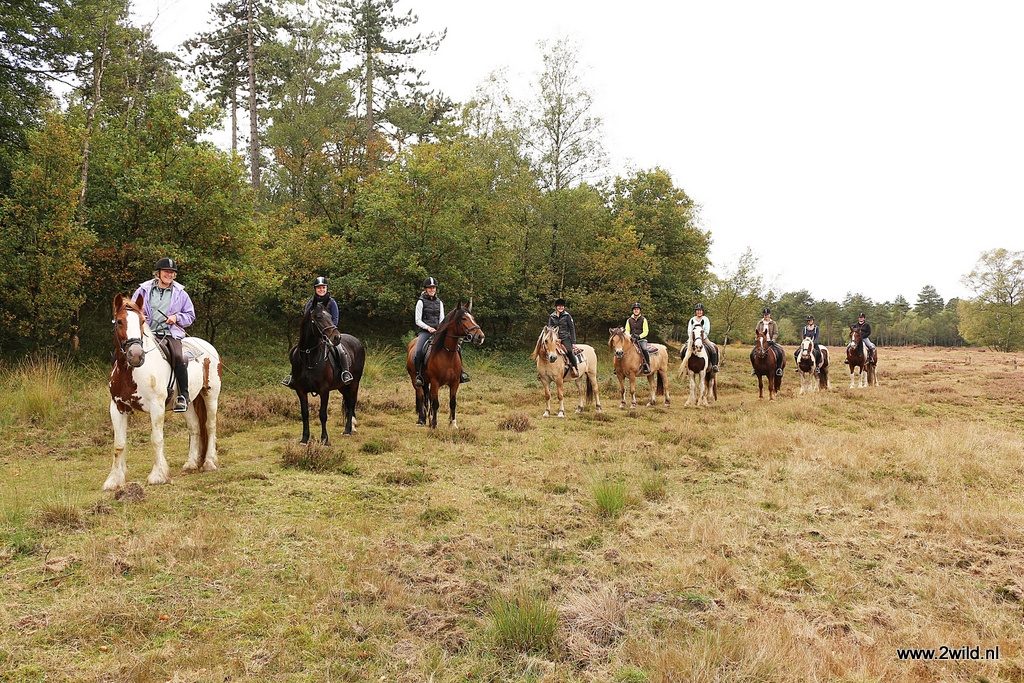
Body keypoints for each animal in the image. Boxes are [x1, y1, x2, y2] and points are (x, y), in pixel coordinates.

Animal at [104, 294, 221, 491]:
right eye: (119, 321)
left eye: (142, 321)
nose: (136, 355)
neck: (131, 372)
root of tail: (208, 346)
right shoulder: (118, 407)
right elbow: (119, 444)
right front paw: (114, 480)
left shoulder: (156, 407)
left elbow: (156, 439)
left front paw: (158, 476)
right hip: (187, 403)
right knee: (195, 428)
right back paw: (191, 464)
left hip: (210, 395)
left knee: (210, 426)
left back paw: (209, 463)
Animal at [286, 303, 366, 444]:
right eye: (318, 317)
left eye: (330, 316)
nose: (337, 337)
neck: (309, 356)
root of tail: (356, 341)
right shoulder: (301, 391)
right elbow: (305, 413)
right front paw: (304, 439)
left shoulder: (324, 390)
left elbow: (323, 414)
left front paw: (324, 439)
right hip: (342, 386)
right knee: (347, 401)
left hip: (354, 383)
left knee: (351, 403)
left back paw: (348, 430)